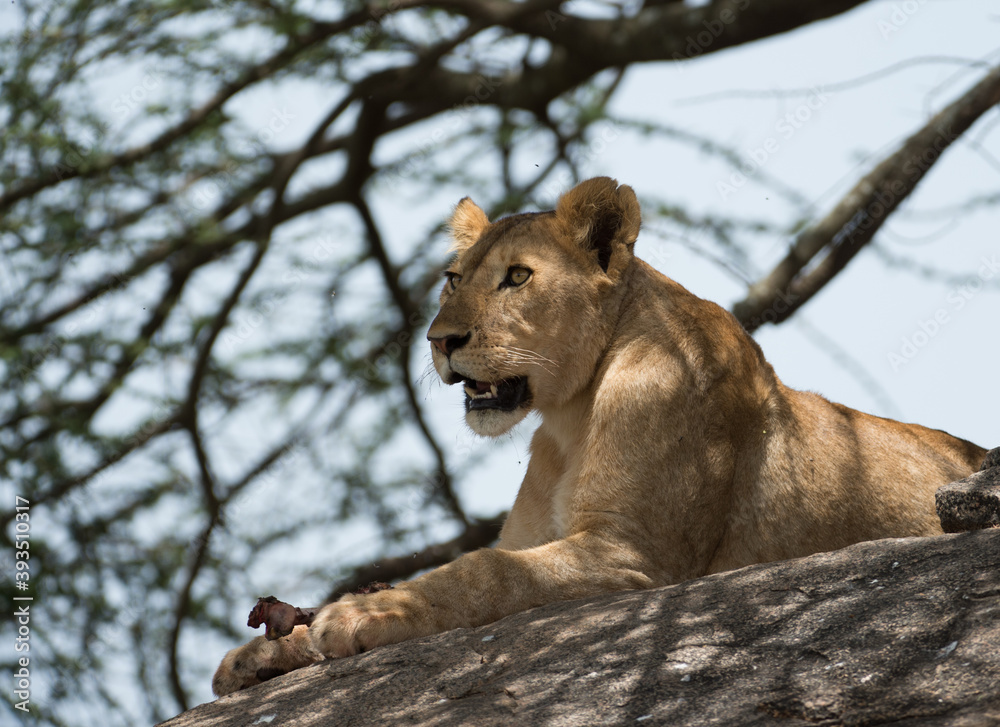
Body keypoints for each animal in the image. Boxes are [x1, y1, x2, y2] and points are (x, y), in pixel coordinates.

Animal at [212, 176, 986, 696]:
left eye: (517, 277)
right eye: (452, 279)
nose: (440, 340)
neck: (570, 415)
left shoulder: (631, 557)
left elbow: (482, 571)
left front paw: (369, 610)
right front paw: (269, 649)